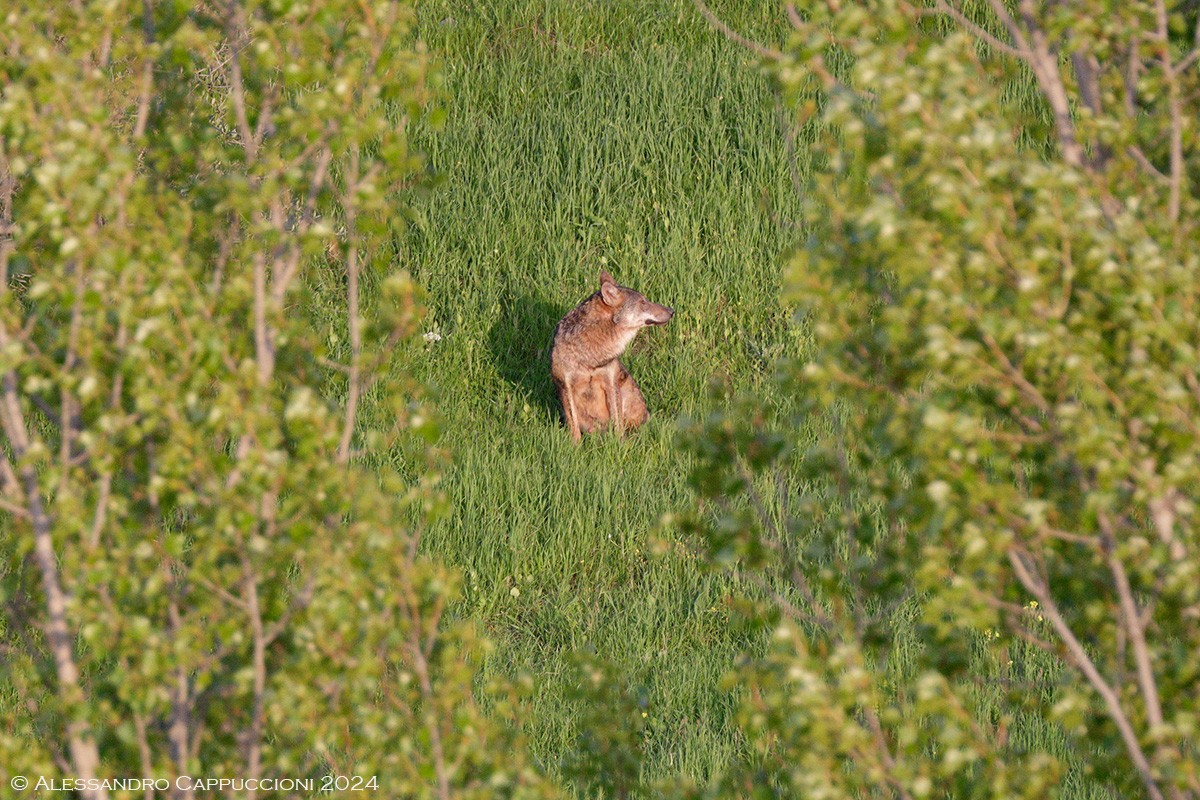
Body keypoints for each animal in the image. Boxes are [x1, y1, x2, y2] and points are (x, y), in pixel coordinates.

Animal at [552, 272, 676, 441]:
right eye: (643, 302)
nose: (672, 311)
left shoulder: (611, 382)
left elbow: (617, 425)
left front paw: (619, 444)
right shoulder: (566, 387)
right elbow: (574, 428)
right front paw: (575, 445)